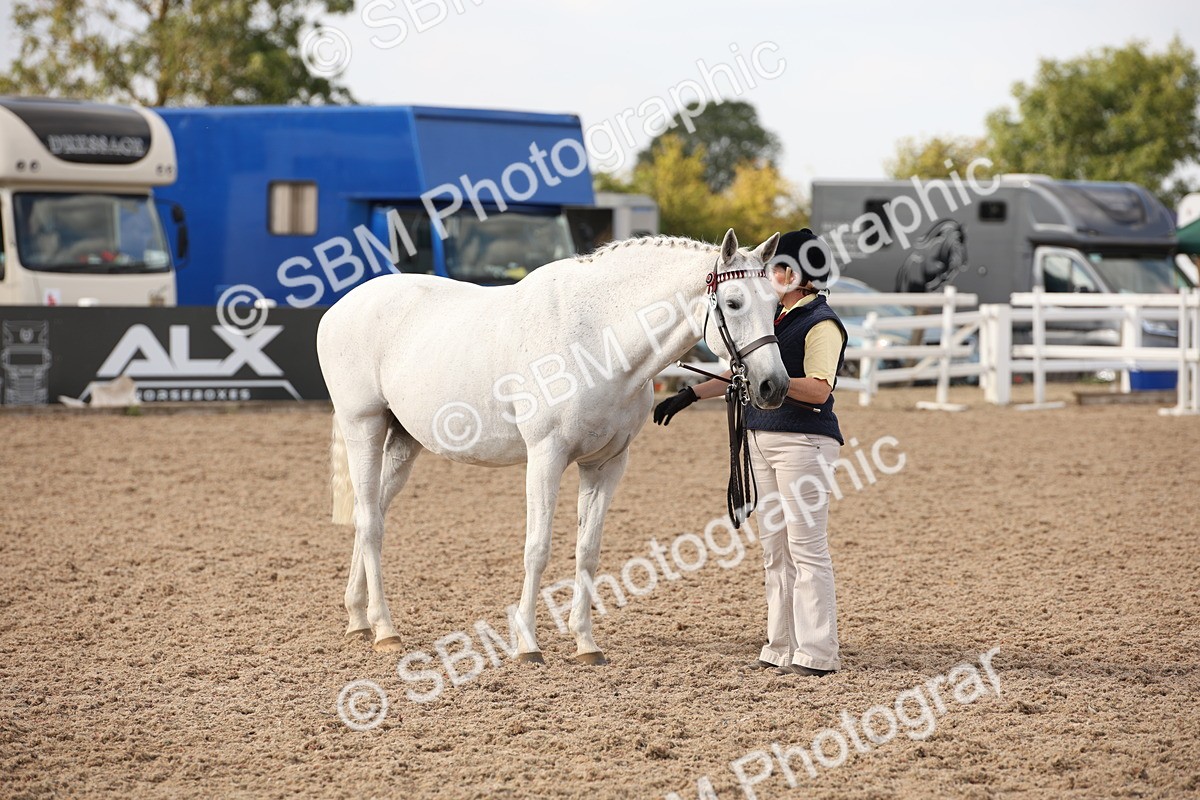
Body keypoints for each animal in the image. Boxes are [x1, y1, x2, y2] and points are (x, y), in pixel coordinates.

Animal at [317, 228, 789, 664]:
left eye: (776, 305)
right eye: (733, 303)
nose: (774, 386)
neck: (598, 339)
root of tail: (340, 308)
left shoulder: (607, 464)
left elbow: (587, 551)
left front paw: (585, 643)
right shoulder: (545, 457)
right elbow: (537, 549)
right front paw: (527, 644)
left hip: (403, 441)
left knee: (373, 511)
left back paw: (358, 618)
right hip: (364, 427)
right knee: (370, 522)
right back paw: (384, 630)